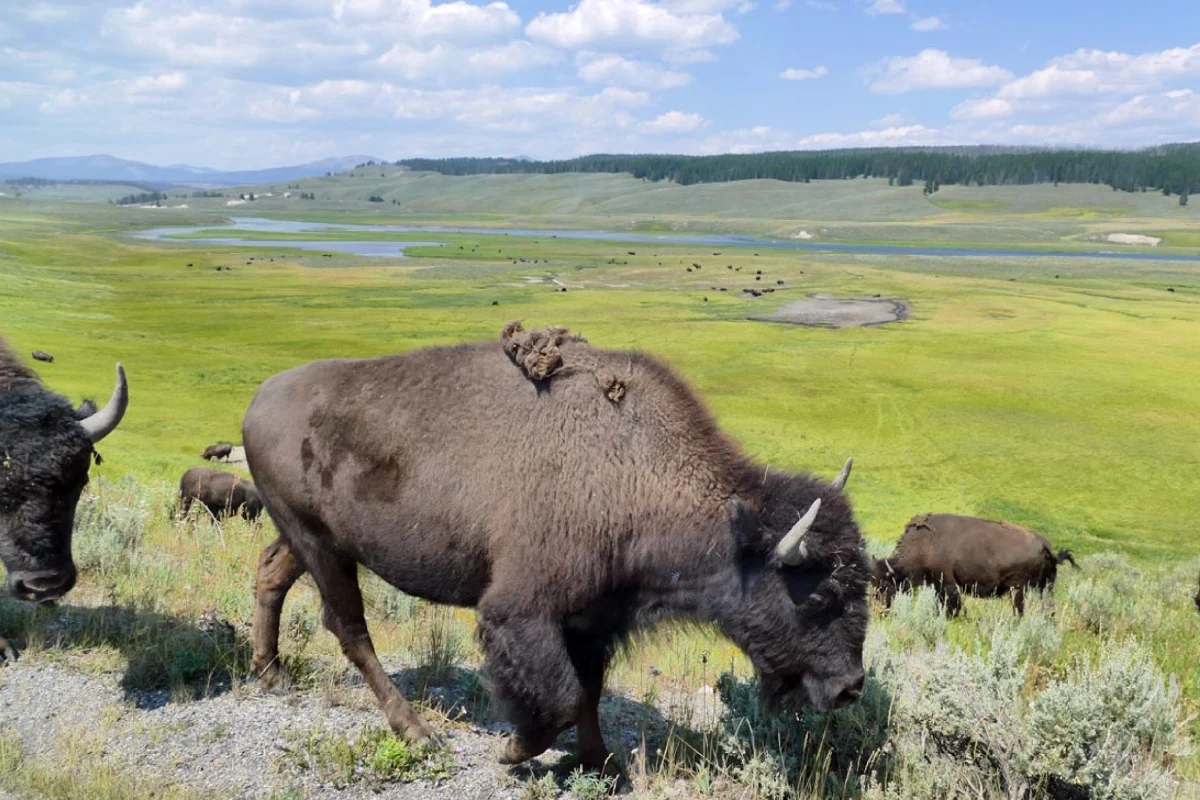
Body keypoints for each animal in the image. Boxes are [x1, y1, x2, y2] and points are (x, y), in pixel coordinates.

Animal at [873, 513, 1080, 618]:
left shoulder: (948, 583)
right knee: (1049, 609)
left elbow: (953, 605)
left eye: (886, 585)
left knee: (1020, 610)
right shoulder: (938, 585)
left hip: (1019, 589)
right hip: (1046, 587)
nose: (880, 611)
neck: (925, 542)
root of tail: (1044, 545)